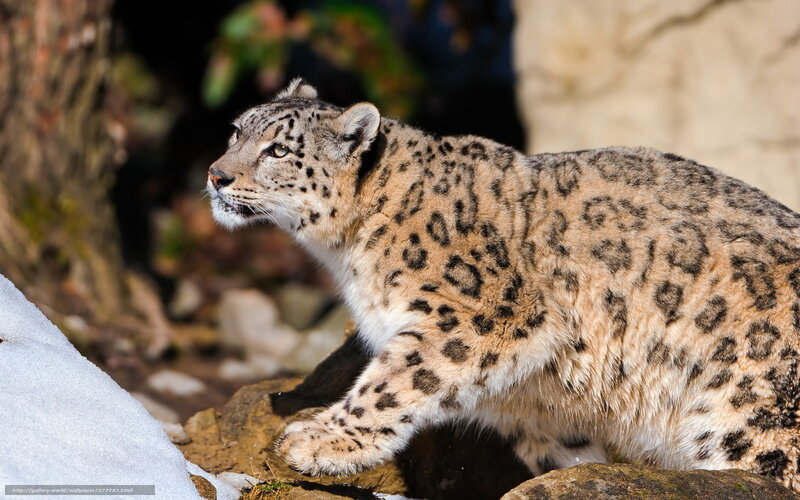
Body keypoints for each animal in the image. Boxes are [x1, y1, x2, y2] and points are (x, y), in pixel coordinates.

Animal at [206, 78, 800, 492]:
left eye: (279, 150)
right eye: (236, 131)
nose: (216, 175)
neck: (347, 254)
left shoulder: (483, 315)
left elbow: (393, 383)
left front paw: (319, 441)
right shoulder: (535, 404)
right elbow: (562, 450)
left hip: (754, 414)